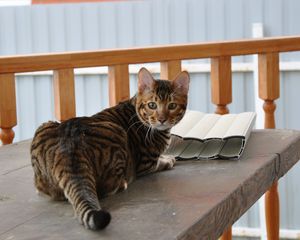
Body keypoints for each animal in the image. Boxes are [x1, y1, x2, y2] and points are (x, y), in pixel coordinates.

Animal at [30, 67, 190, 231]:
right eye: (152, 105)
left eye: (172, 106)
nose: (162, 119)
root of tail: (70, 147)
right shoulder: (146, 163)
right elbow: (160, 162)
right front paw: (168, 159)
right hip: (118, 133)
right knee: (106, 188)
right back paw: (123, 182)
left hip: (44, 127)